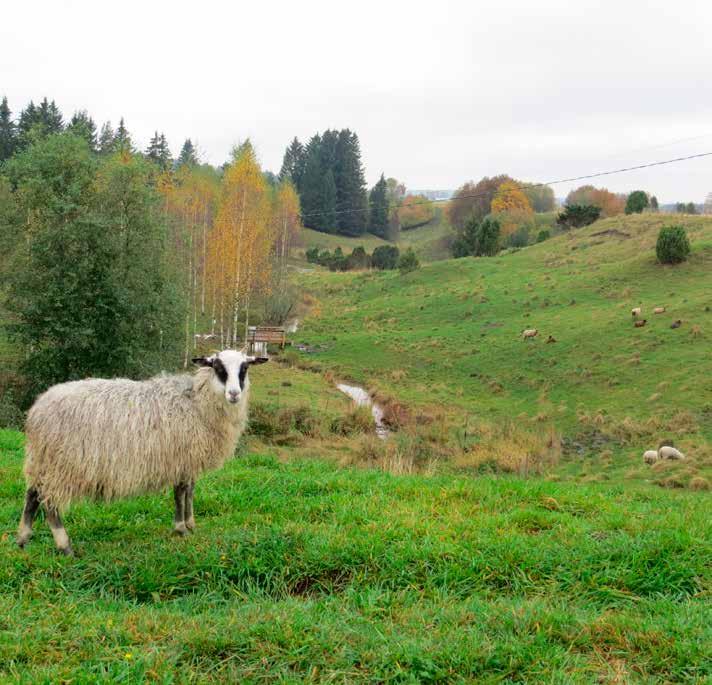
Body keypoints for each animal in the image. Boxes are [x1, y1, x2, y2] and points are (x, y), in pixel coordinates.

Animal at [16, 350, 268, 552]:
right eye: (217, 367)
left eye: (245, 368)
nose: (234, 394)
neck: (195, 402)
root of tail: (37, 410)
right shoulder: (180, 456)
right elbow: (180, 493)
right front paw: (181, 529)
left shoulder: (188, 459)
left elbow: (190, 492)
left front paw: (191, 524)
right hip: (62, 464)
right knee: (49, 503)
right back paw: (64, 545)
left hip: (42, 460)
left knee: (32, 495)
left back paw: (23, 539)